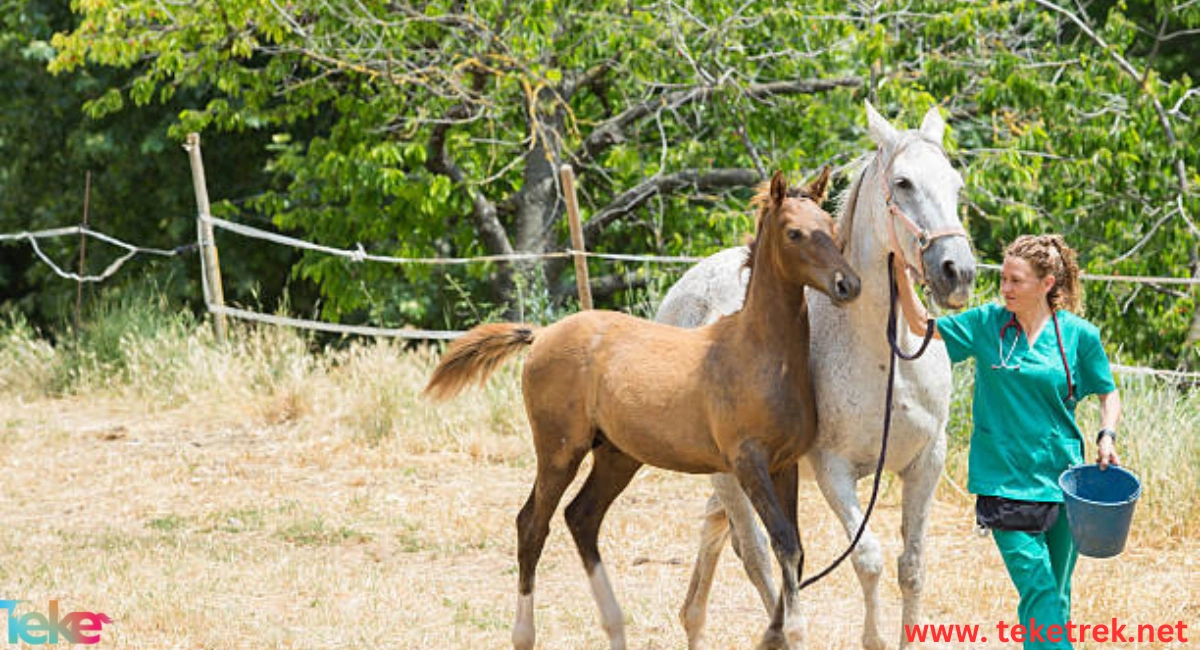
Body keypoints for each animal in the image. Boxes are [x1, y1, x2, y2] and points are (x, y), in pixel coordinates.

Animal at [662, 103, 979, 650]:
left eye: (955, 184)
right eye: (904, 183)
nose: (956, 271)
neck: (886, 359)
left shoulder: (926, 462)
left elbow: (912, 566)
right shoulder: (834, 471)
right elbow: (867, 559)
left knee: (718, 532)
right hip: (730, 472)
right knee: (757, 553)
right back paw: (780, 631)